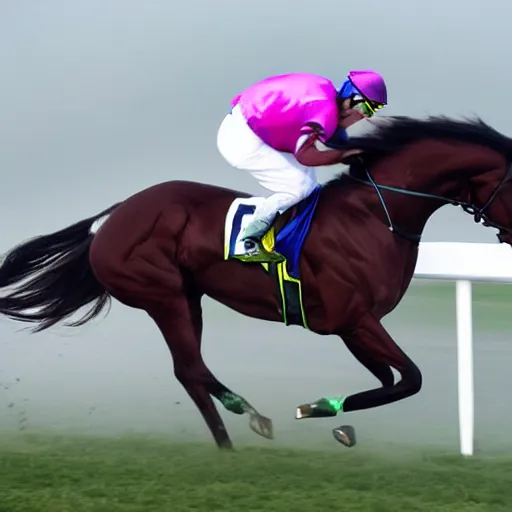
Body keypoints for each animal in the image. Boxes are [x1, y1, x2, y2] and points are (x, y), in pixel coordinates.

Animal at [1, 114, 512, 450]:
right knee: (190, 368)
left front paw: (334, 417)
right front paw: (316, 410)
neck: (374, 215)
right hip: (164, 294)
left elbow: (391, 380)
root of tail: (110, 219)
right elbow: (411, 379)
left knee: (188, 371)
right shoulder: (355, 318)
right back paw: (245, 421)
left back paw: (232, 438)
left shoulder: (351, 325)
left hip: (188, 297)